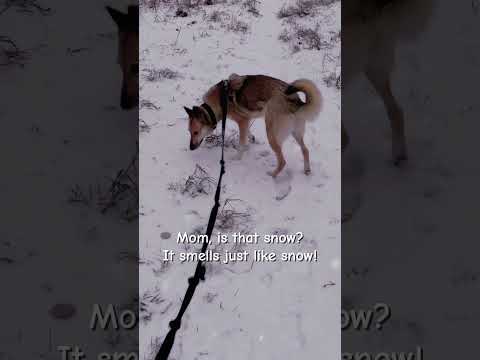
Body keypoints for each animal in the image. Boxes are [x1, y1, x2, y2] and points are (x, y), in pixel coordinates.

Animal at [184, 74, 322, 178]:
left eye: (195, 132)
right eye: (189, 132)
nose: (190, 148)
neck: (220, 100)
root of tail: (297, 102)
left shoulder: (242, 121)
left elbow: (241, 143)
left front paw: (237, 157)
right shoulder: (246, 121)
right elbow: (247, 133)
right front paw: (251, 139)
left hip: (271, 133)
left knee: (283, 161)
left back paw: (272, 174)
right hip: (296, 133)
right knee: (305, 150)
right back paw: (307, 170)